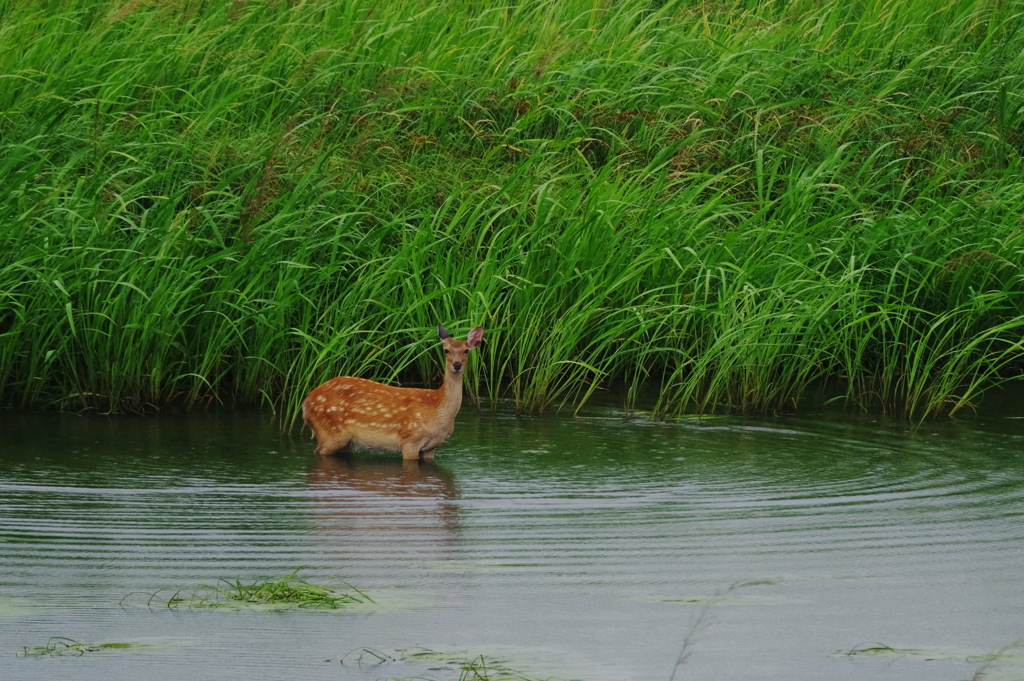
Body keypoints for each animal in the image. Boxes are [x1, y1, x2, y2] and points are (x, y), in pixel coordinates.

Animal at [299, 323, 483, 462]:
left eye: (466, 350)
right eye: (446, 350)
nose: (457, 365)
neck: (438, 409)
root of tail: (306, 402)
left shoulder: (432, 447)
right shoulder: (410, 439)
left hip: (344, 441)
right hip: (331, 433)